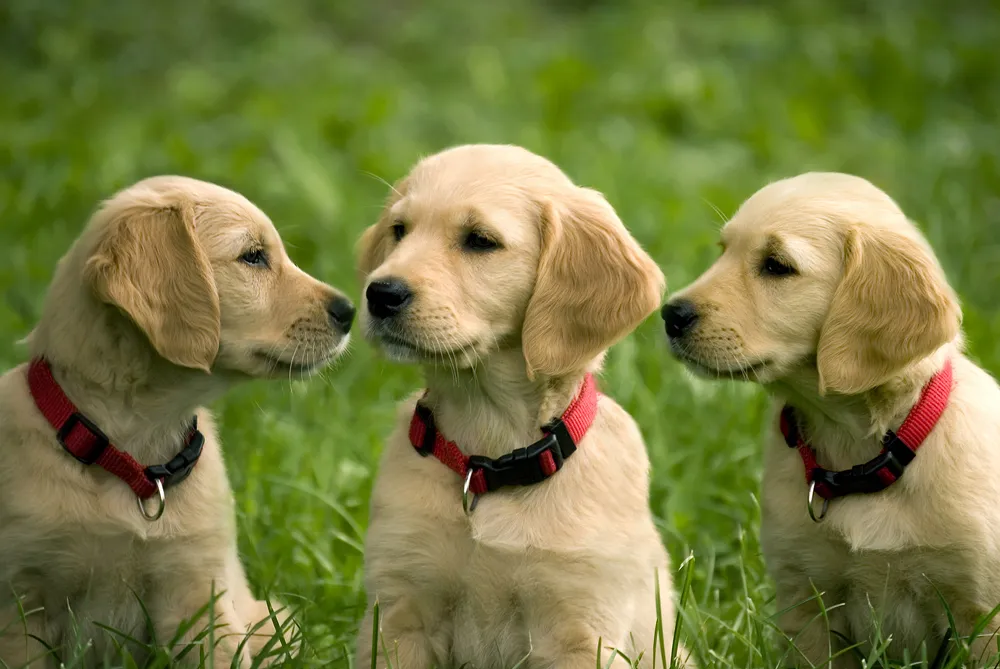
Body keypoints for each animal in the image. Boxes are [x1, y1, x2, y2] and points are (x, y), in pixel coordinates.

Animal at [0, 175, 358, 664]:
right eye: (253, 256)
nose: (351, 312)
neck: (131, 456)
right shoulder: (22, 603)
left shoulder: (198, 593)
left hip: (274, 622)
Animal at [352, 145, 688, 668]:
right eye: (399, 230)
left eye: (480, 241)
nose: (379, 293)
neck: (489, 460)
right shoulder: (399, 616)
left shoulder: (579, 631)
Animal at [664, 171, 1000, 664]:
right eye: (723, 251)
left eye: (776, 266)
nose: (670, 314)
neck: (860, 453)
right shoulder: (807, 599)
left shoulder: (980, 614)